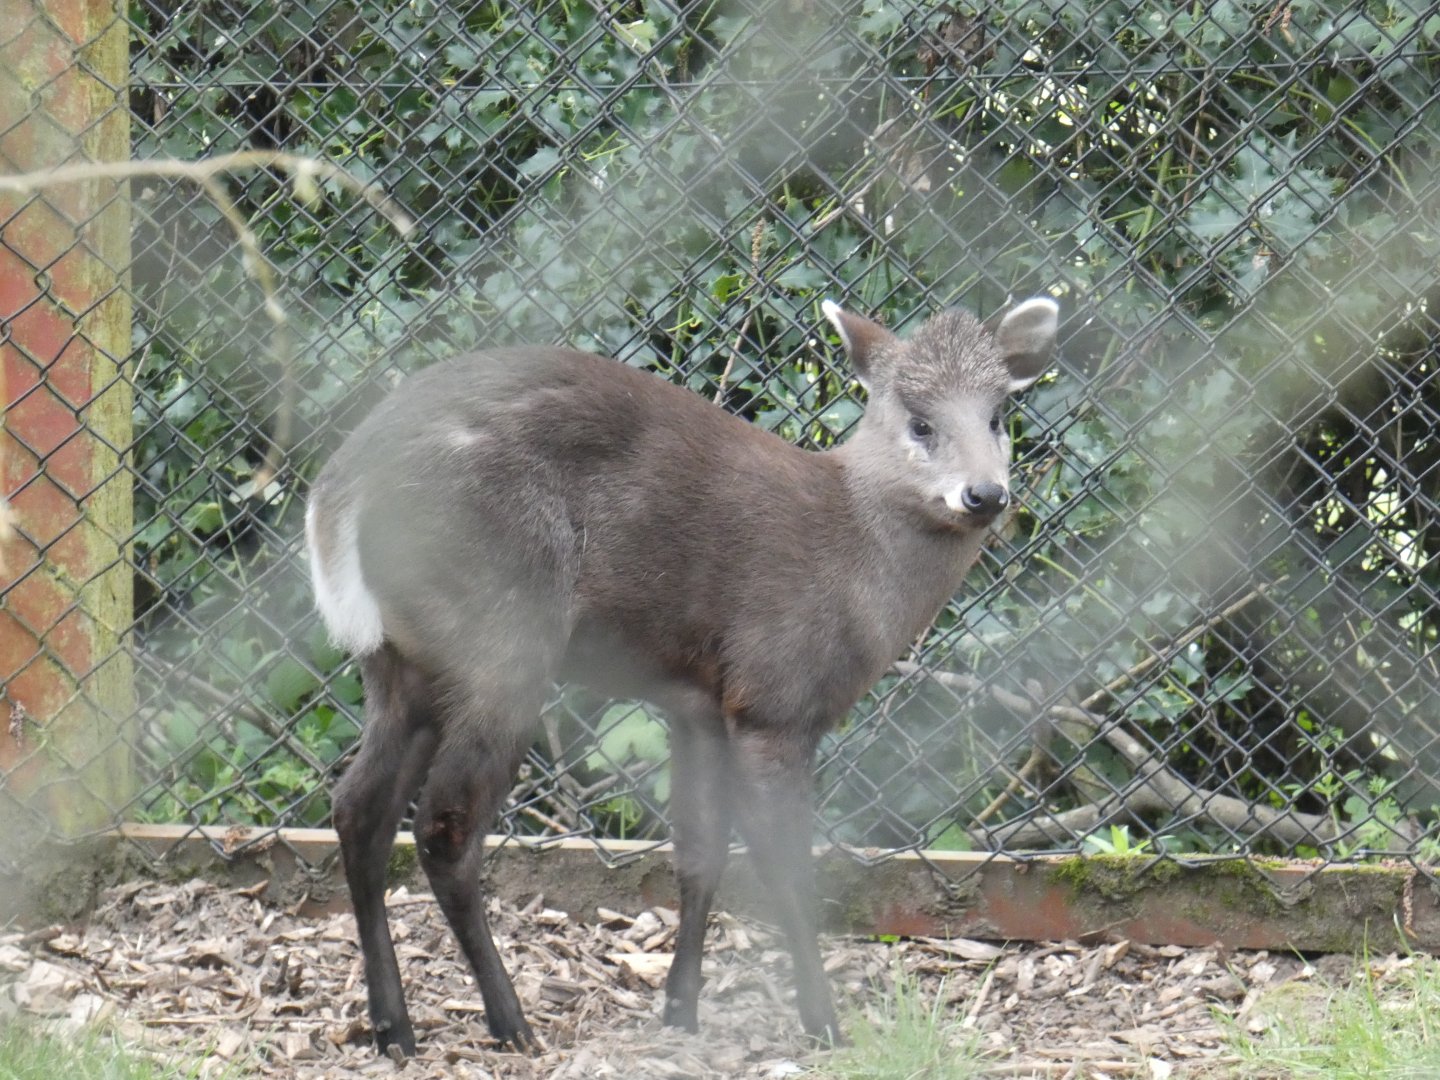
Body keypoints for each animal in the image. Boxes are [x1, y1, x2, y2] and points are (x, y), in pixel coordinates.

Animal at [305, 295, 1059, 1056]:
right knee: (443, 826)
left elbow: (700, 854)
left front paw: (680, 1010)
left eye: (999, 413)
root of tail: (335, 497)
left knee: (359, 807)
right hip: (504, 639)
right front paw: (824, 1025)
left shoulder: (698, 705)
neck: (854, 556)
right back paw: (510, 1022)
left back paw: (394, 1027)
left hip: (402, 664)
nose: (985, 494)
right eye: (920, 421)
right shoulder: (774, 700)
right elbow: (786, 869)